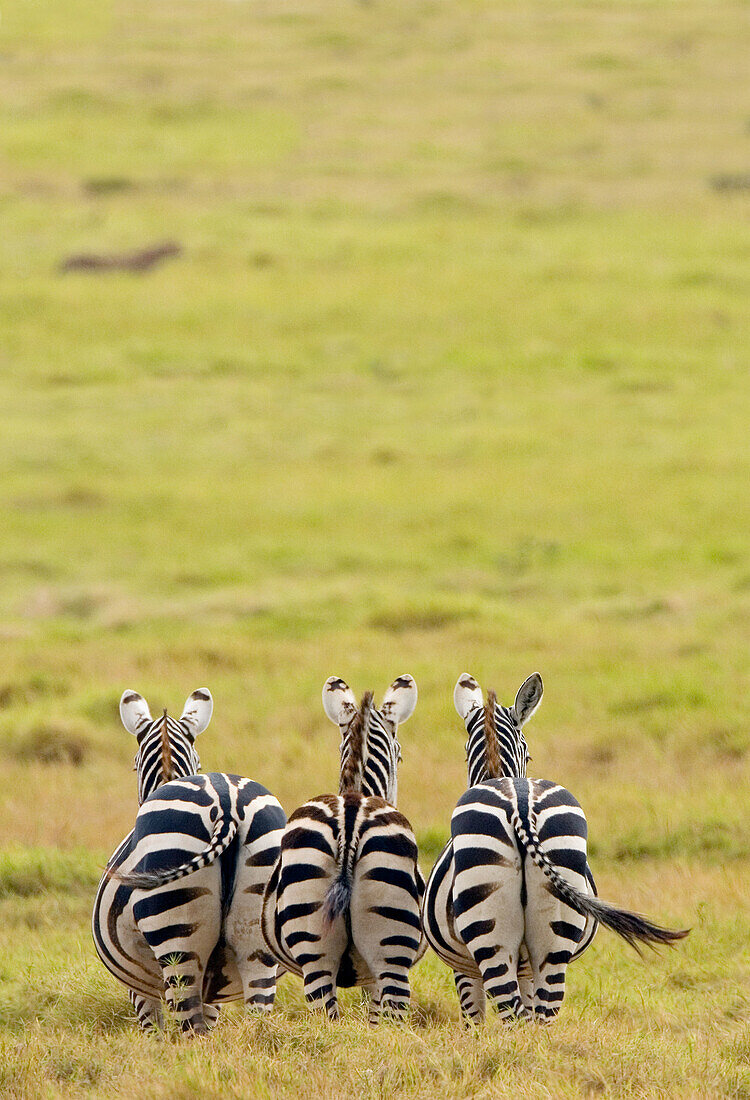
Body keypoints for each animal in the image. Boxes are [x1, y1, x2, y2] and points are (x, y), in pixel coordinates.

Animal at [90, 686, 283, 1029]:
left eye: (133, 765)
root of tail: (227, 805)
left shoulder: (140, 988)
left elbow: (154, 1029)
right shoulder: (215, 992)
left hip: (176, 943)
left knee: (190, 1027)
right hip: (258, 940)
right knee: (258, 1016)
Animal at [417, 673, 686, 1025]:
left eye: (528, 756)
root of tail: (519, 804)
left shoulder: (464, 968)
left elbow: (473, 1021)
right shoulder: (524, 967)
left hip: (490, 937)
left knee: (515, 1016)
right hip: (555, 932)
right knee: (541, 1016)